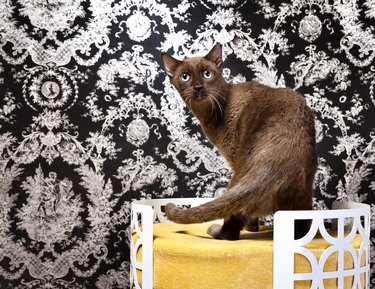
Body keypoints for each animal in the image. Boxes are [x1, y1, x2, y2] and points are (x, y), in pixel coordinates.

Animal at [161, 43, 318, 238]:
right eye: (185, 77)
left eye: (207, 74)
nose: (198, 87)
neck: (208, 114)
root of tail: (279, 162)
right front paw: (253, 228)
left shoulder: (233, 157)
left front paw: (251, 228)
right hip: (303, 198)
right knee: (302, 226)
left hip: (238, 175)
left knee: (230, 230)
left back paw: (215, 231)